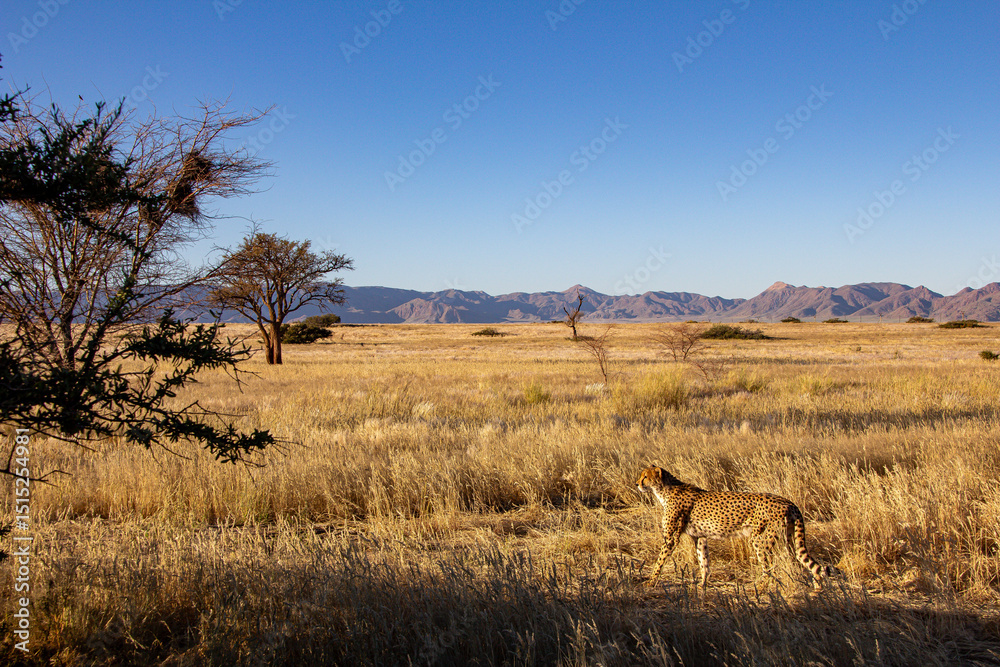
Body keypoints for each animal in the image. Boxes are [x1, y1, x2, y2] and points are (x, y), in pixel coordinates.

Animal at [636, 465, 837, 591]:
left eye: (645, 476)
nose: (637, 484)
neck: (664, 490)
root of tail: (789, 502)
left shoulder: (671, 538)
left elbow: (660, 560)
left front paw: (651, 581)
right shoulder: (700, 537)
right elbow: (704, 562)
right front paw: (702, 585)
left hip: (760, 539)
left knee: (771, 566)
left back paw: (760, 588)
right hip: (789, 539)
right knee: (803, 562)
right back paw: (817, 589)